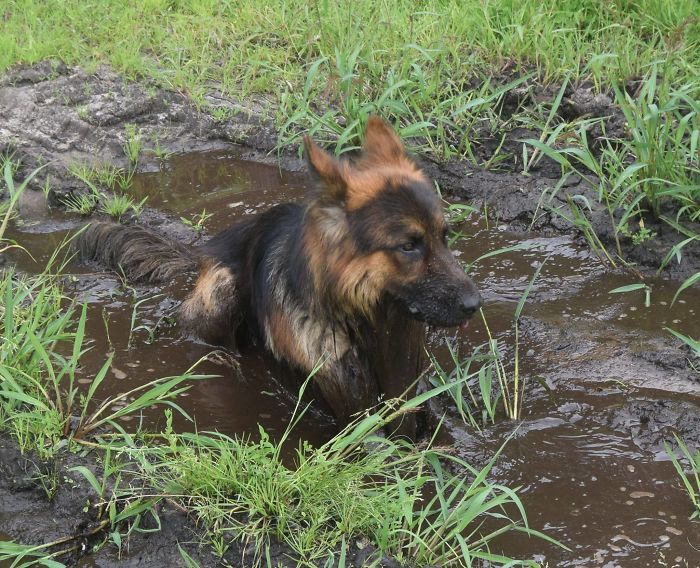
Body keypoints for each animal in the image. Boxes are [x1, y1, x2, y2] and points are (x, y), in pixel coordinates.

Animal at [76, 117, 482, 432]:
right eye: (409, 246)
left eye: (444, 237)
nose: (475, 304)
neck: (364, 328)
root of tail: (204, 250)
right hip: (223, 291)